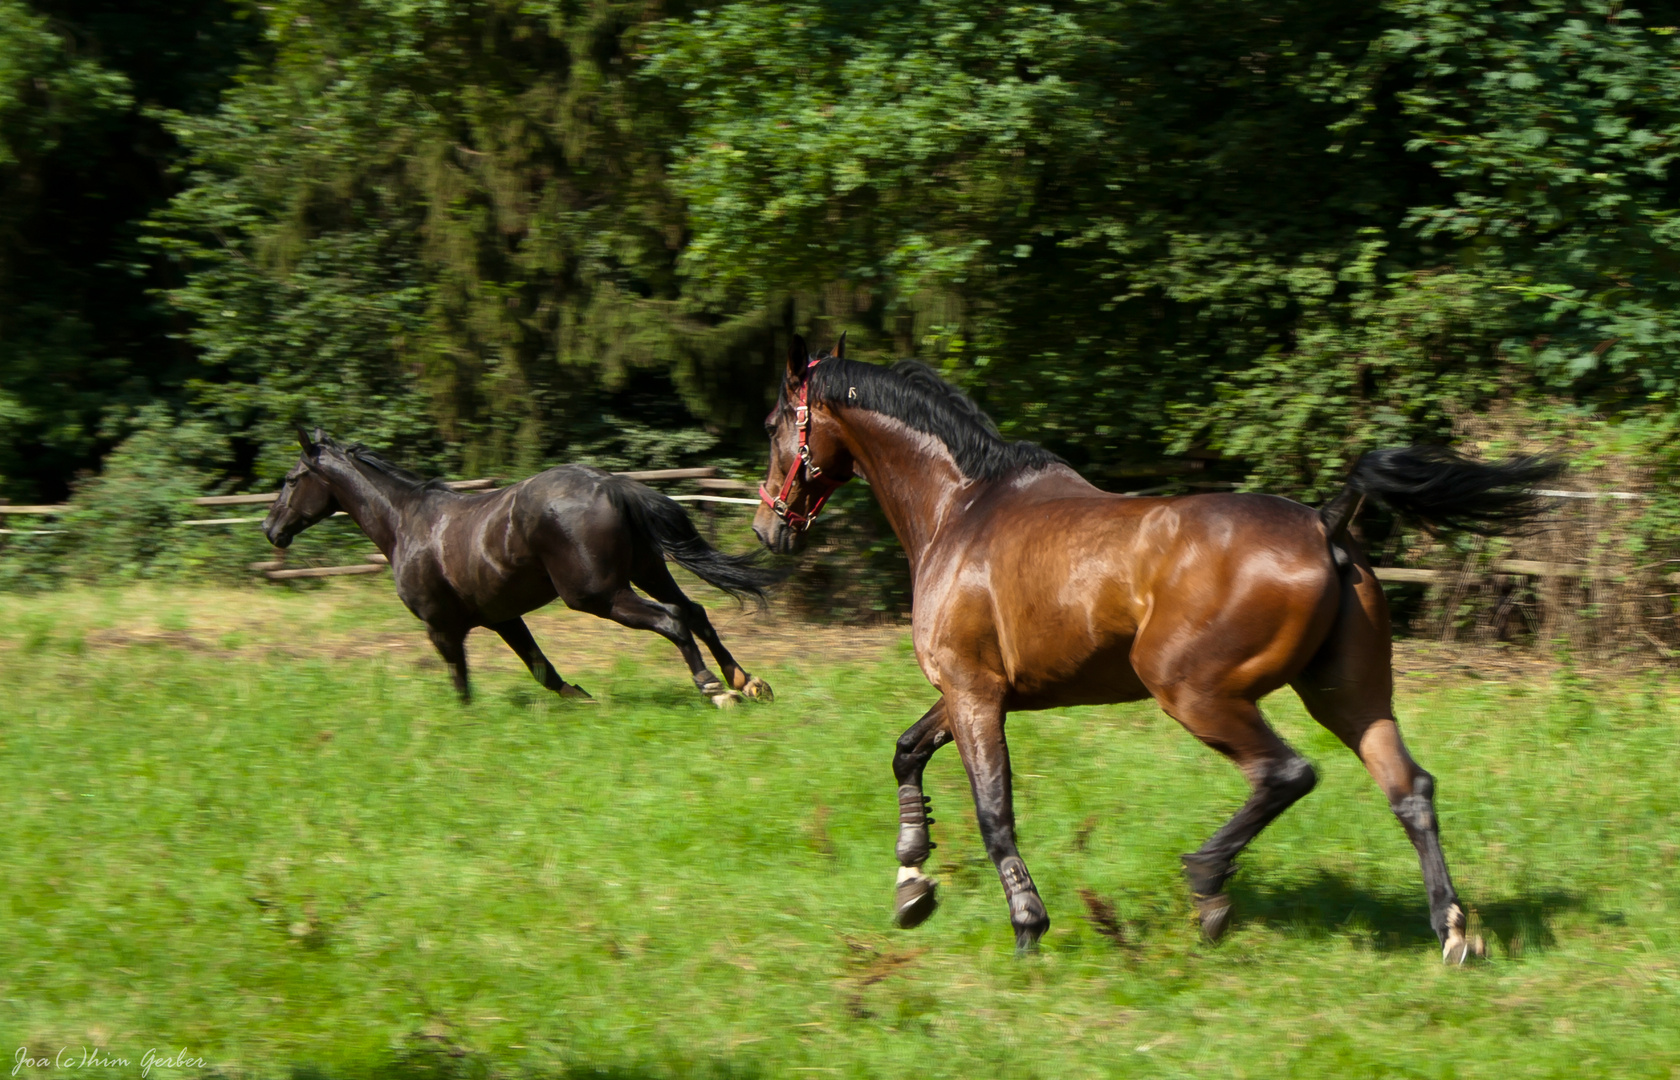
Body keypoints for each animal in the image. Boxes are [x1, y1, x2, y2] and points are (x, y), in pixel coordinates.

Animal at [267, 429, 779, 708]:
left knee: (671, 619)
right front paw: (583, 700)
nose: (271, 529)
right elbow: (541, 669)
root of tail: (612, 484)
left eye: (291, 480)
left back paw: (715, 689)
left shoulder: (441, 627)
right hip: (647, 571)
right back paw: (747, 681)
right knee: (694, 612)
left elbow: (462, 684)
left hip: (597, 595)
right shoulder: (503, 618)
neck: (406, 524)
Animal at [756, 337, 1552, 960]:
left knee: (1286, 773)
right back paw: (1453, 930)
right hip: (1347, 696)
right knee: (1409, 789)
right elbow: (907, 753)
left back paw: (1208, 885)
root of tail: (1326, 522)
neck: (961, 506)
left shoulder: (973, 690)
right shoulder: (970, 691)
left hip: (1192, 689)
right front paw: (912, 885)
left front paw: (1027, 925)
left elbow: (993, 811)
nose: (769, 527)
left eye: (772, 425)